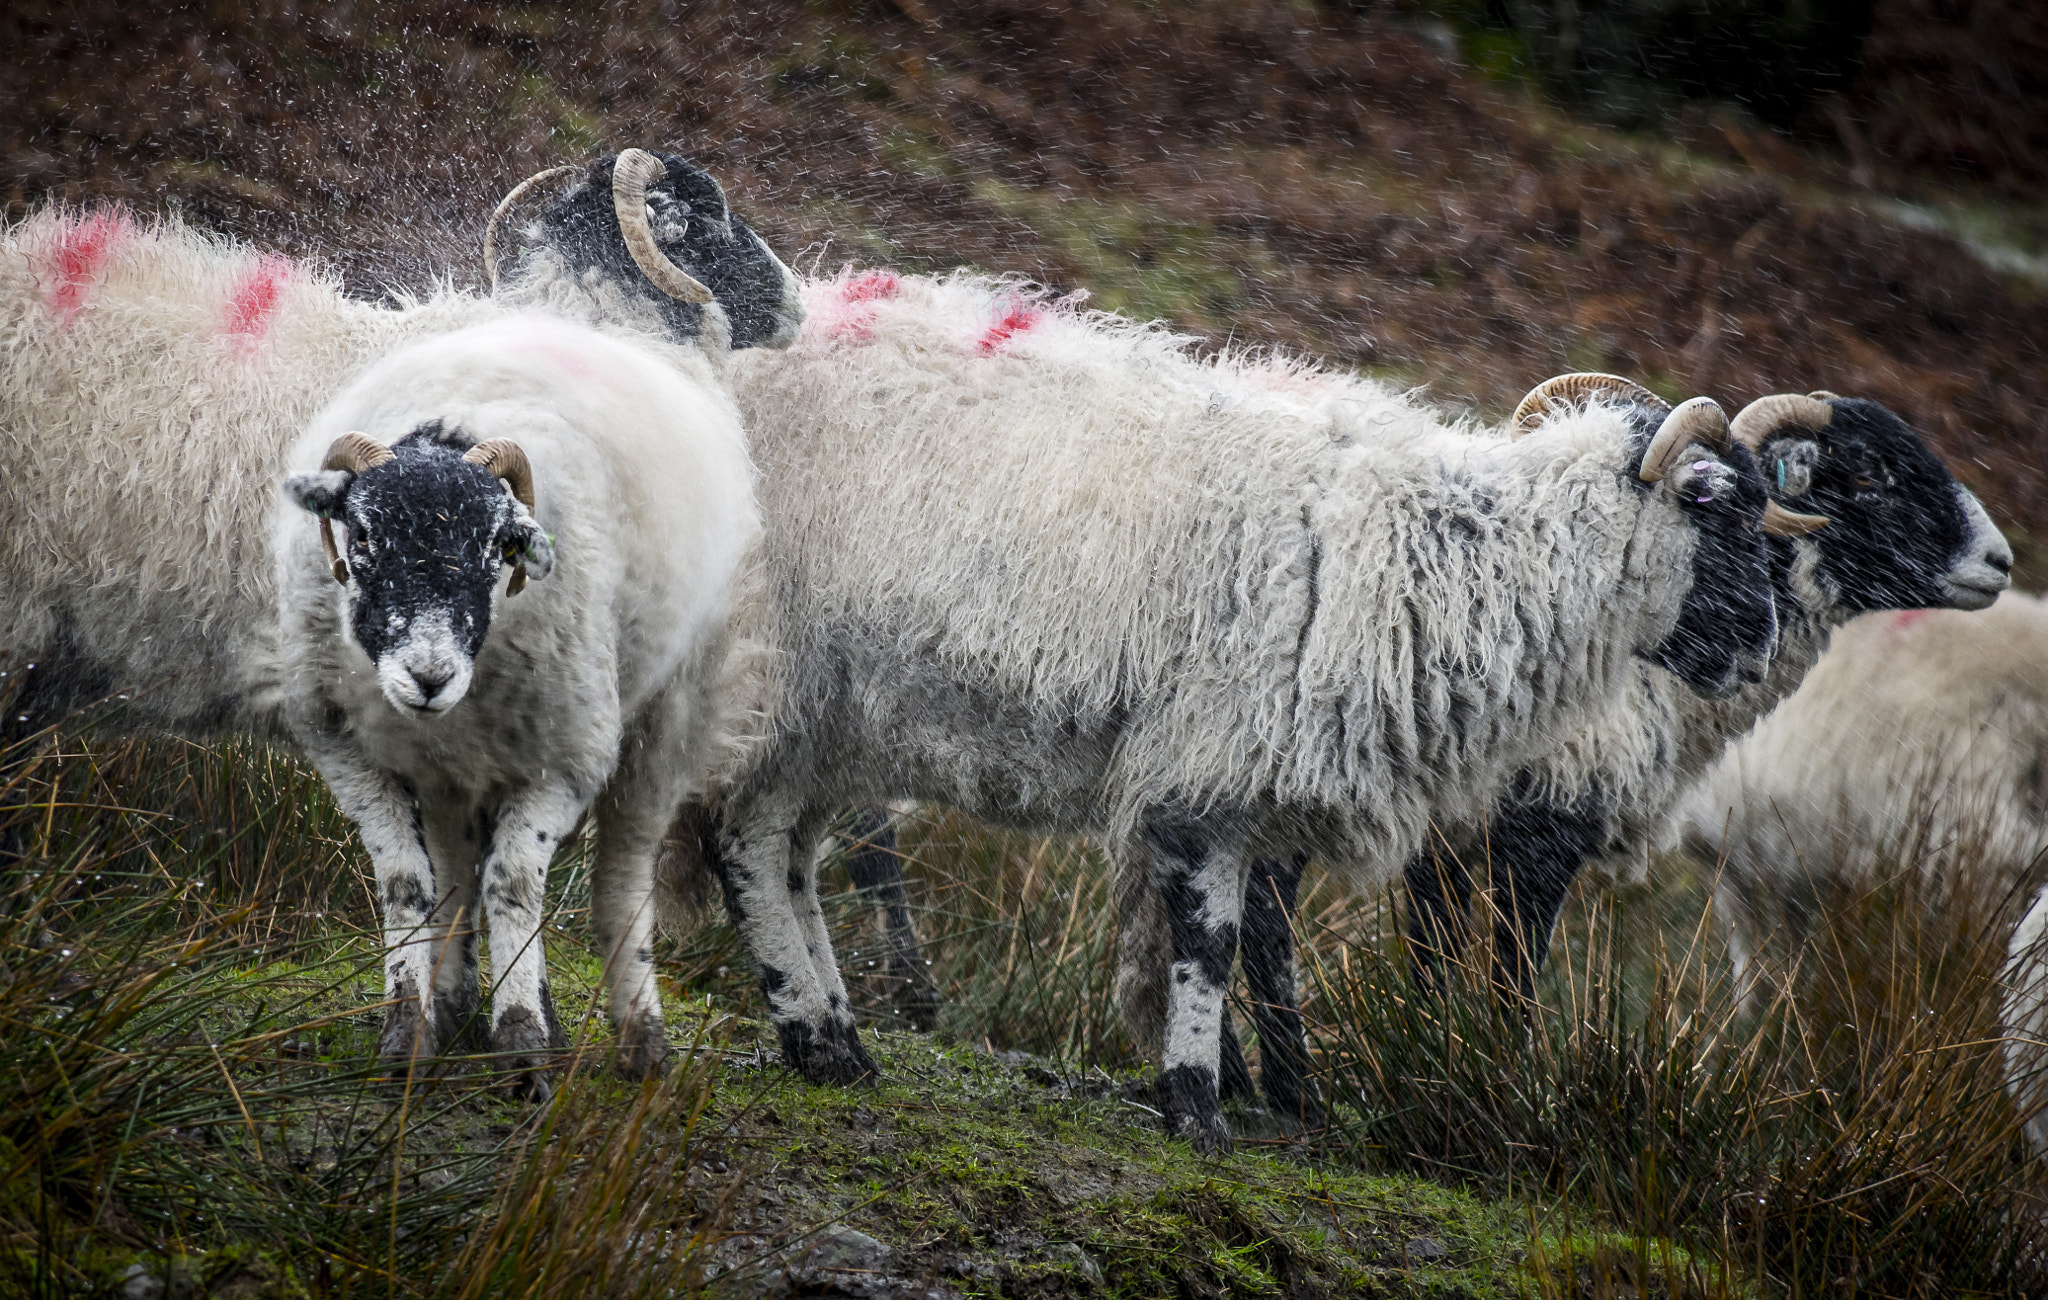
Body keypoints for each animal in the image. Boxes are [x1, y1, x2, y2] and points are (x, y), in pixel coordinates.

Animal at [276, 314, 760, 1093]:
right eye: (363, 534)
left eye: (497, 546)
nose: (429, 677)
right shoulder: (346, 752)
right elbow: (407, 882)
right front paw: (408, 1033)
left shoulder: (565, 761)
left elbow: (513, 883)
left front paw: (524, 1039)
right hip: (455, 769)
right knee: (452, 865)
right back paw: (451, 1003)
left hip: (668, 715)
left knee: (622, 875)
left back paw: (640, 1039)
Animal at [683, 268, 1785, 1150]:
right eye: (1716, 504)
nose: (1765, 645)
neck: (1438, 556)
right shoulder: (1209, 760)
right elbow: (1208, 943)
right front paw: (1197, 1106)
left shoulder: (1242, 777)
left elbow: (1228, 939)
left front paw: (1209, 1094)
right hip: (784, 668)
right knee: (747, 841)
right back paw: (815, 1030)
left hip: (833, 711)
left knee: (783, 847)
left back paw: (835, 1039)